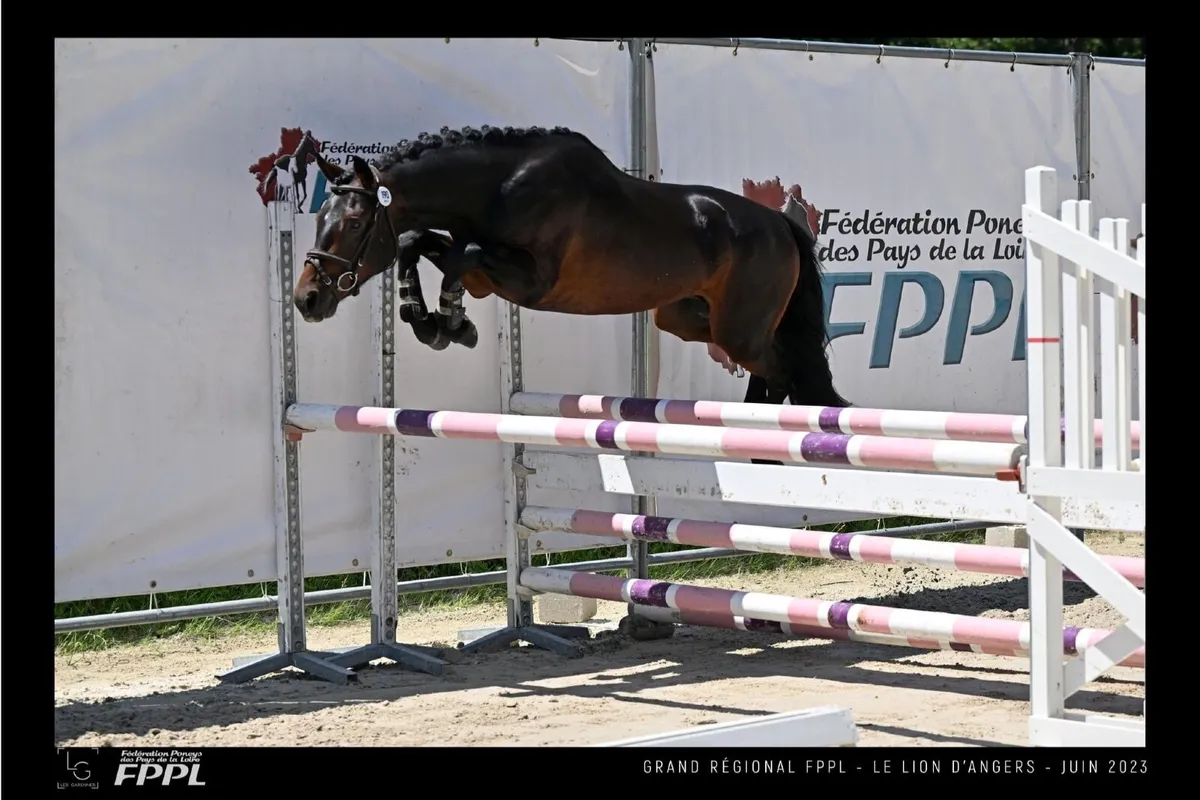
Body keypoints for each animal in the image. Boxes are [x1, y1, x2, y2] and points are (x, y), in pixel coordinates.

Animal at [293, 125, 850, 419]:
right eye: (319, 219)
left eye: (355, 222)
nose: (306, 299)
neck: (499, 187)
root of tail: (781, 223)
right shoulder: (484, 264)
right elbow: (417, 242)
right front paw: (424, 317)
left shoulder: (532, 281)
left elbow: (458, 255)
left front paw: (450, 324)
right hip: (688, 319)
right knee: (776, 367)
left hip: (738, 329)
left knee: (782, 370)